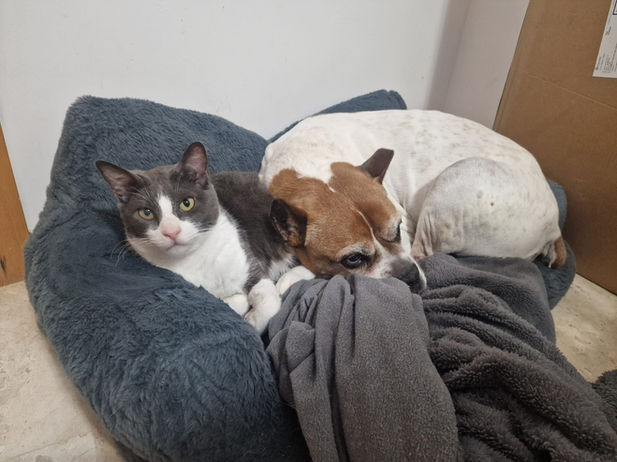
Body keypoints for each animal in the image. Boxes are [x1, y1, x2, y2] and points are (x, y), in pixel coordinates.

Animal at [96, 142, 312, 333]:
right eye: (146, 213)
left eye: (187, 203)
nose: (171, 231)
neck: (196, 258)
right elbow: (233, 300)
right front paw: (238, 304)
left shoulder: (246, 257)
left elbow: (267, 296)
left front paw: (253, 320)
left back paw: (289, 279)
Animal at [259, 110, 566, 290]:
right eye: (353, 259)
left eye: (396, 229)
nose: (409, 276)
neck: (310, 161)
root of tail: (555, 227)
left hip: (457, 177)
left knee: (425, 250)